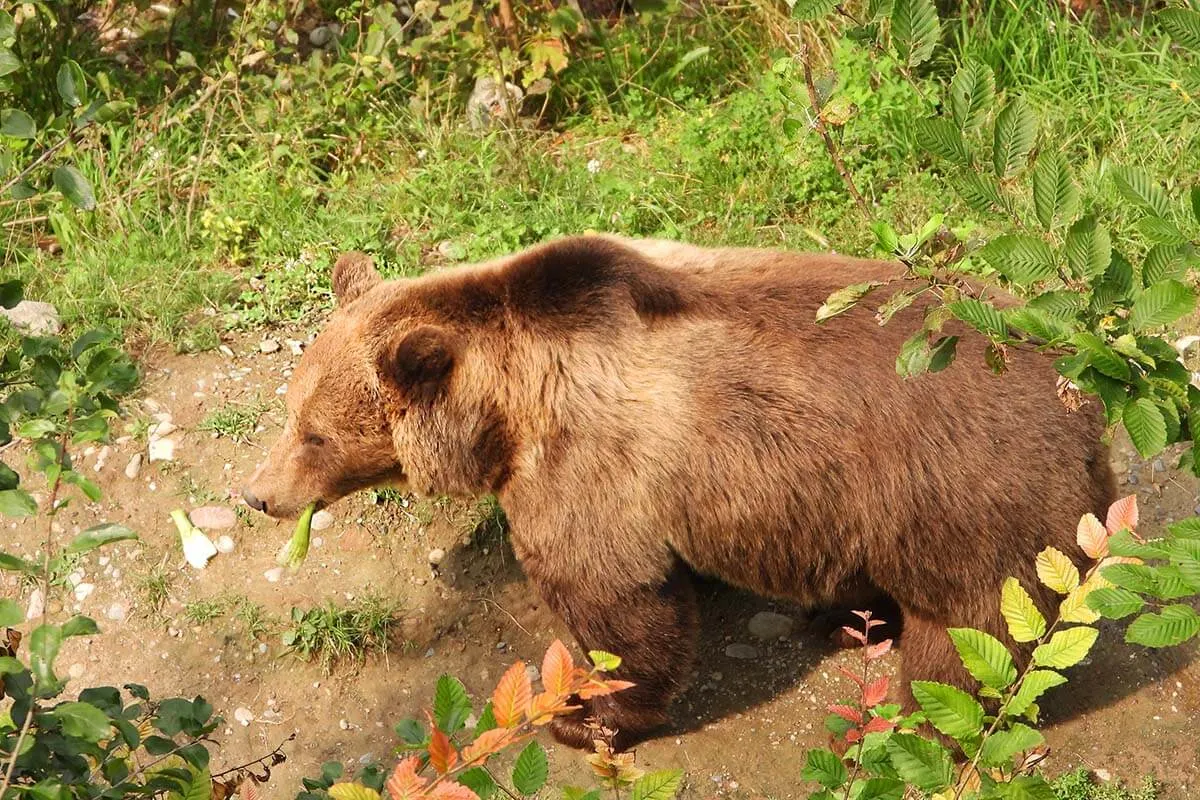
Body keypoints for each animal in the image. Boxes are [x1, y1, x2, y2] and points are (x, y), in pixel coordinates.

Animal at [241, 232, 1113, 753]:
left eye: (314, 433)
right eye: (290, 412)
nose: (258, 495)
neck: (505, 411)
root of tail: (1088, 405)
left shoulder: (587, 465)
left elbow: (617, 601)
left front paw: (584, 716)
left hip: (964, 501)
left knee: (971, 639)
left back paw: (912, 720)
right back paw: (841, 619)